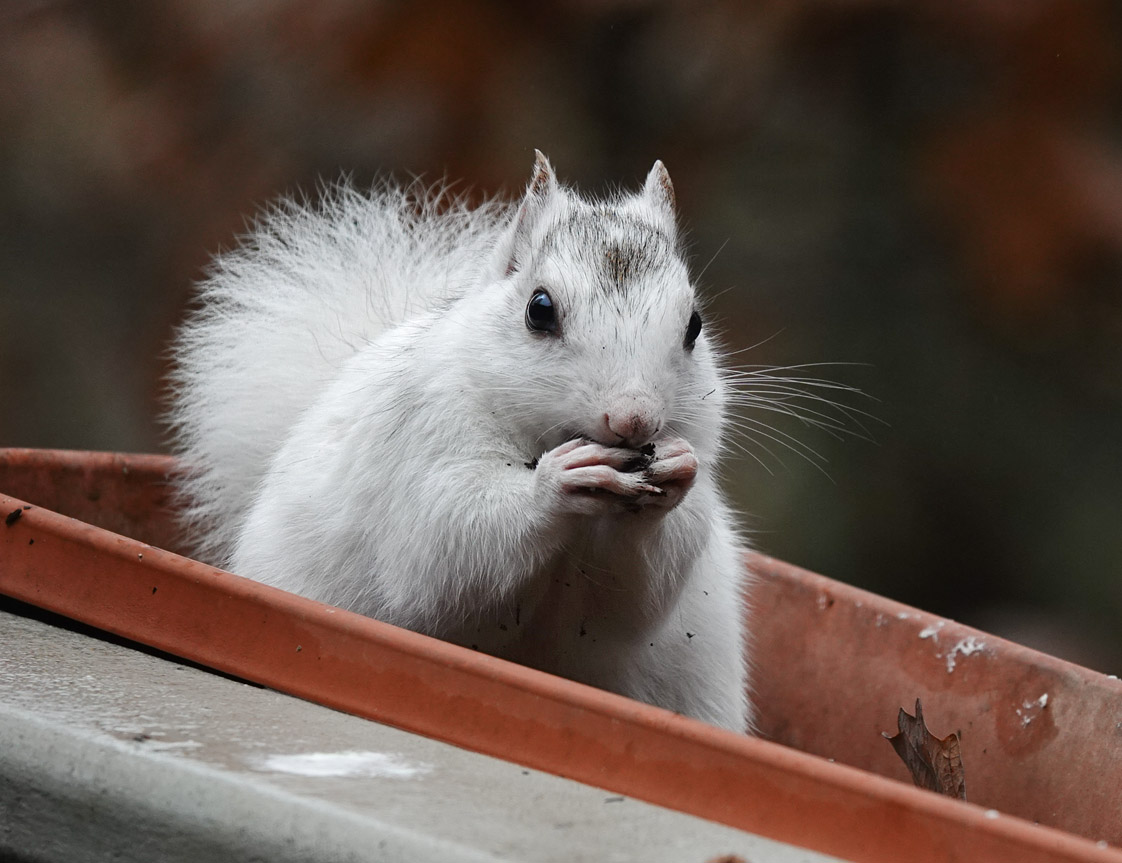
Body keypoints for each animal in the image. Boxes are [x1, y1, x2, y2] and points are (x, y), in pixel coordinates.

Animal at [168, 151, 753, 731]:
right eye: (539, 309)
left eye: (694, 325)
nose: (633, 418)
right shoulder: (424, 452)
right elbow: (444, 552)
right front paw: (555, 484)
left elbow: (626, 606)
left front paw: (675, 470)